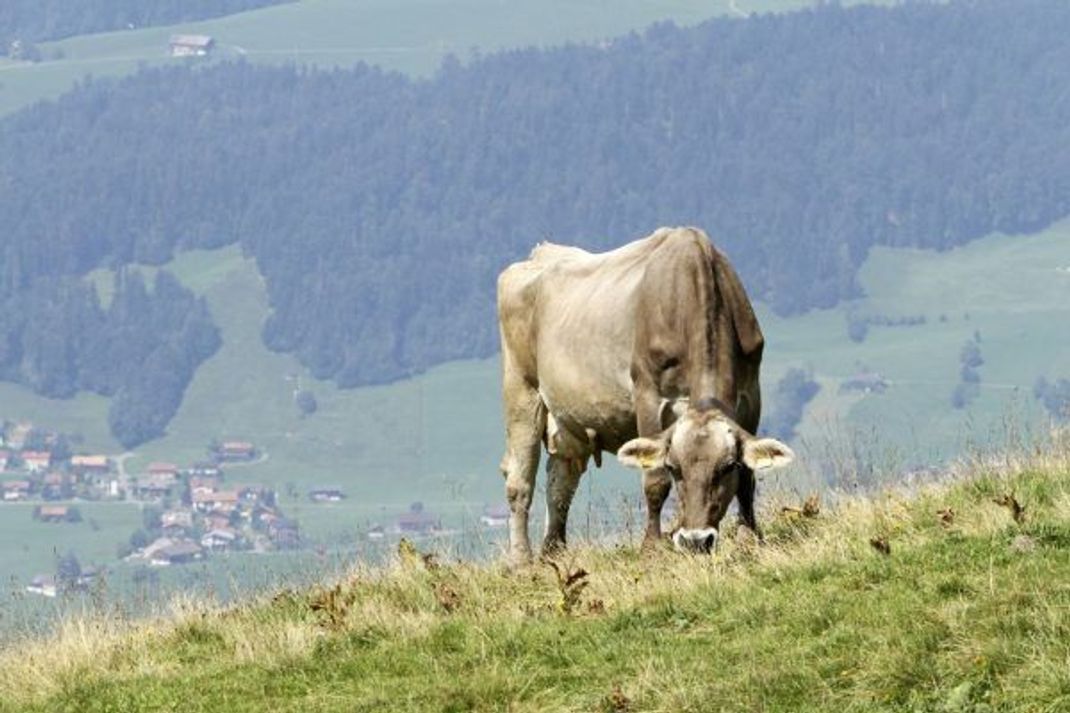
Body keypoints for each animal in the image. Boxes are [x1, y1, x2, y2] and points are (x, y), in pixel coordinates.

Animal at [496, 224, 791, 565]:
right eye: (674, 468)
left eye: (726, 467)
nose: (696, 540)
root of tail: (541, 252)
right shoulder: (649, 395)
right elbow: (654, 481)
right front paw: (651, 547)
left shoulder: (751, 395)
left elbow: (748, 477)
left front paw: (750, 539)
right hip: (521, 388)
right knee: (520, 480)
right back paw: (521, 560)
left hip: (568, 416)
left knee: (561, 479)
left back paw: (554, 551)